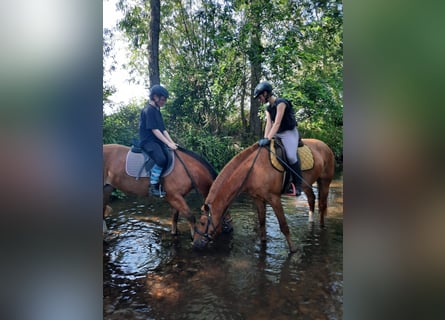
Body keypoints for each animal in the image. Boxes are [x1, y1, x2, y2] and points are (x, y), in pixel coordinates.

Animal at [193, 139, 334, 254]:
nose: (195, 243)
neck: (252, 170)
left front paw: (293, 249)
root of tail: (325, 145)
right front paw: (263, 244)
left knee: (322, 205)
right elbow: (261, 224)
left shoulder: (274, 199)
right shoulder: (258, 199)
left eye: (202, 222)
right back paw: (311, 221)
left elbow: (284, 226)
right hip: (306, 185)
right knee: (312, 199)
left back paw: (322, 226)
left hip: (325, 181)